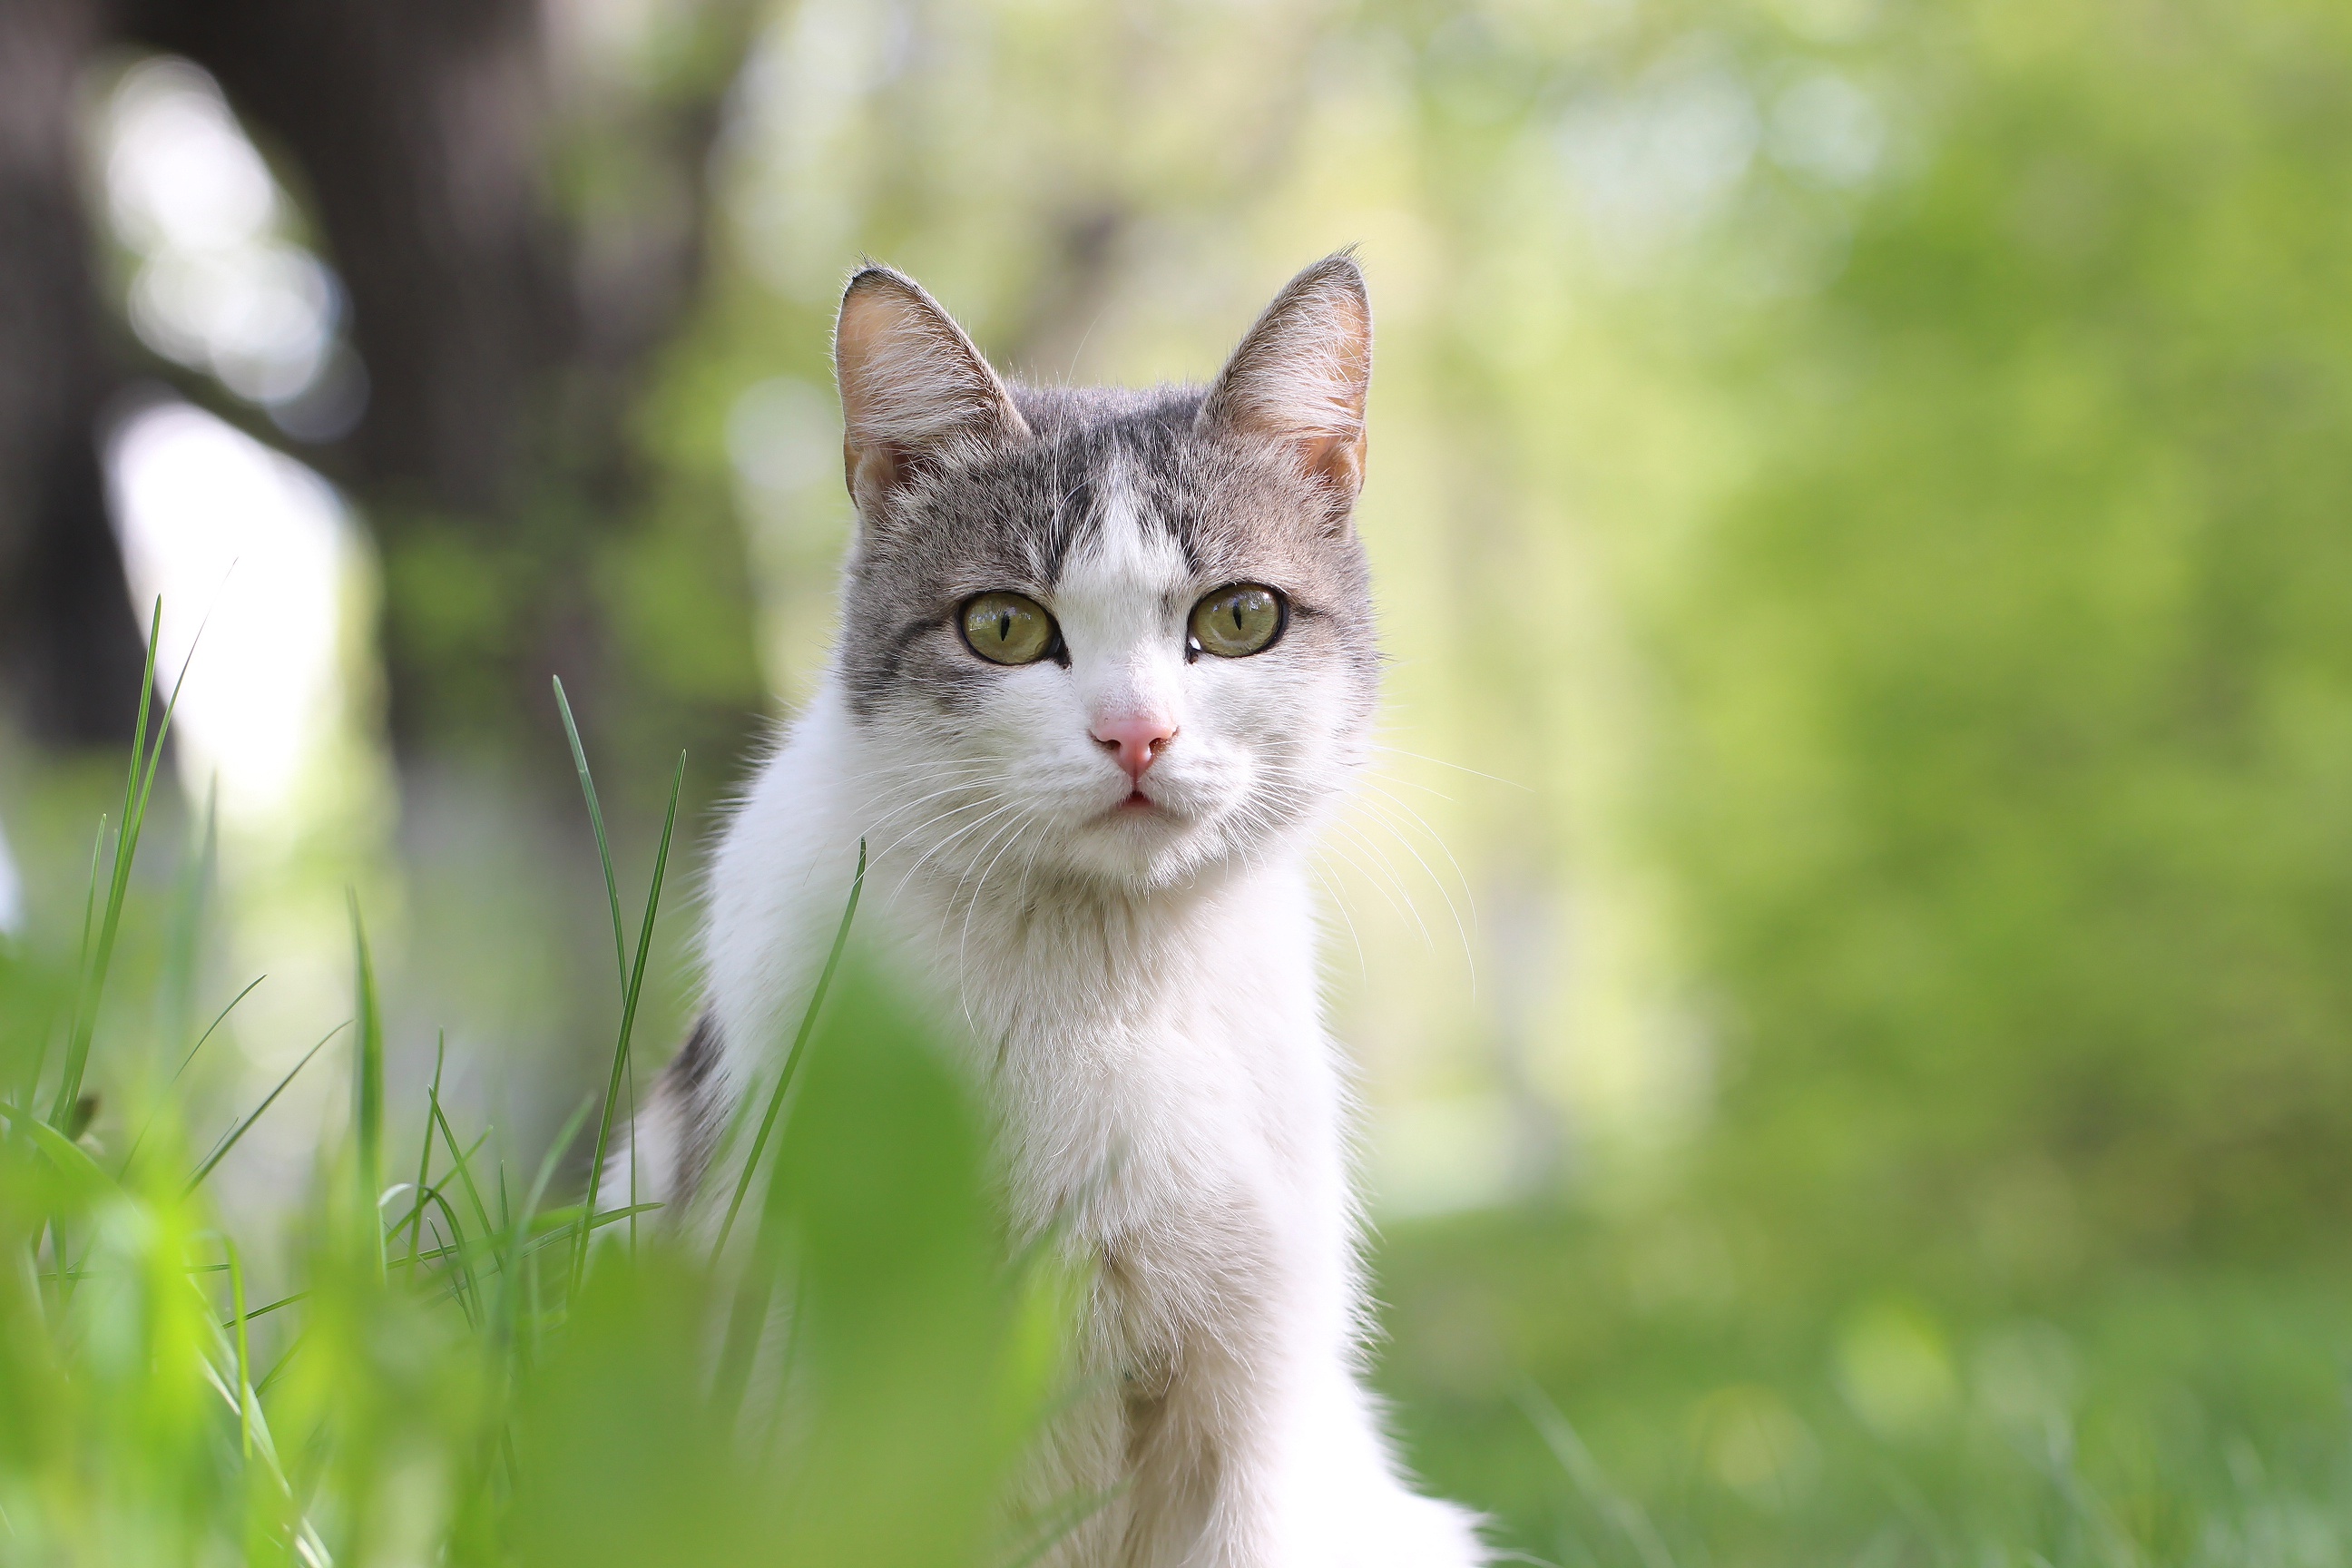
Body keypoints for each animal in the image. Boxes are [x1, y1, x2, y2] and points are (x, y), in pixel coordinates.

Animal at [616, 257, 1476, 1568]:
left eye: (1239, 618)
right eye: (1004, 626)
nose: (1137, 734)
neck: (1101, 978)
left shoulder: (1257, 1398)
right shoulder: (823, 1377)